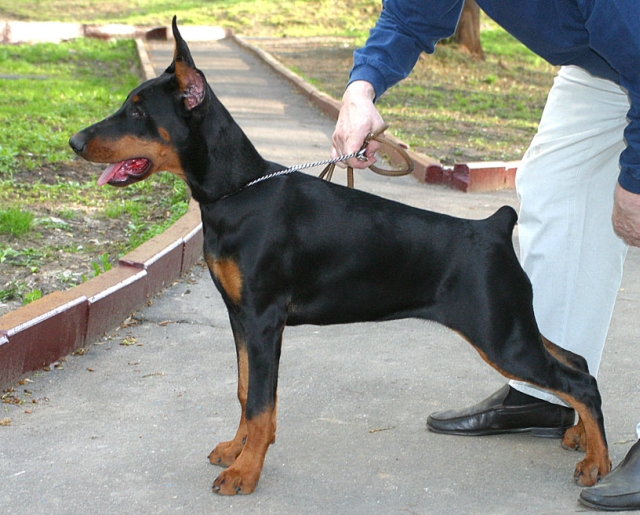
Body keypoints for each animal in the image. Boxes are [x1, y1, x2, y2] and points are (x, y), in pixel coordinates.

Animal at [69, 17, 610, 495]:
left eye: (139, 111)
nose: (74, 141)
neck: (237, 193)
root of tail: (494, 225)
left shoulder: (264, 319)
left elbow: (261, 402)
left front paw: (246, 472)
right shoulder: (240, 316)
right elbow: (245, 392)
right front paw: (236, 449)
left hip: (499, 335)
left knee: (579, 382)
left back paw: (598, 464)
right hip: (513, 324)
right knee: (577, 361)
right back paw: (579, 436)